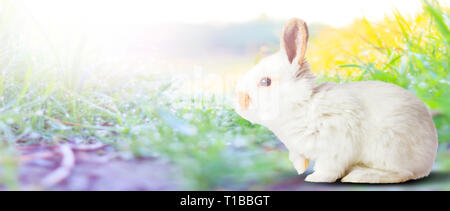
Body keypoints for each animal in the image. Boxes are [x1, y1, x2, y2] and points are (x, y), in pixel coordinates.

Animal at [234, 18, 438, 183]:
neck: (303, 104)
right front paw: (300, 168)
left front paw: (314, 178)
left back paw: (360, 176)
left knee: (403, 173)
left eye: (265, 82)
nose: (239, 100)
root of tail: (429, 158)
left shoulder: (335, 143)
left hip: (390, 147)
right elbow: (300, 157)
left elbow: (328, 168)